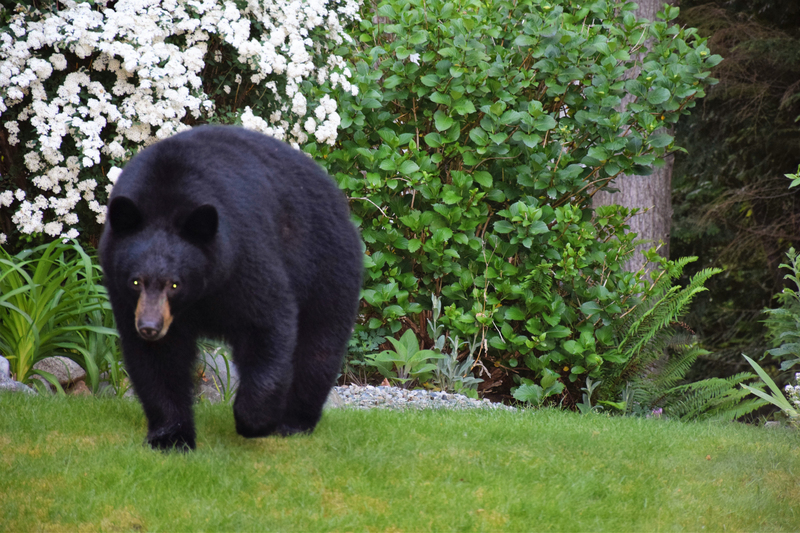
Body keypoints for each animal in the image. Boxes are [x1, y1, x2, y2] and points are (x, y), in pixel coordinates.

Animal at [99, 124, 362, 448]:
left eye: (174, 284)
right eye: (135, 281)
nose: (149, 327)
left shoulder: (243, 256)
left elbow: (267, 323)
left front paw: (255, 421)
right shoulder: (127, 299)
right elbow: (158, 361)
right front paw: (171, 436)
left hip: (326, 264)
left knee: (319, 345)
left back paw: (295, 421)